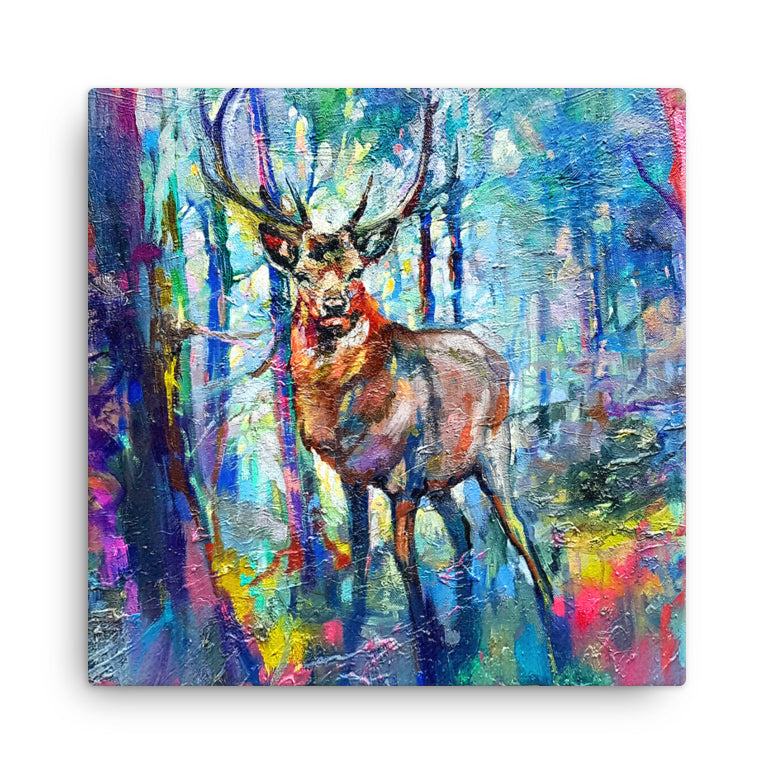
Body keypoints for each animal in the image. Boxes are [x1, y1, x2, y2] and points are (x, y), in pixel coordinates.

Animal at [199, 90, 555, 684]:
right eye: (301, 273)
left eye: (356, 269)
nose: (334, 305)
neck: (348, 421)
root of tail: (498, 357)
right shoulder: (351, 477)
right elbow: (362, 552)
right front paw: (359, 632)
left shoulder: (406, 476)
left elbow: (405, 561)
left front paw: (426, 648)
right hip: (444, 476)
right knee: (464, 529)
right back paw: (467, 633)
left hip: (491, 450)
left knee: (516, 528)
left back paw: (551, 613)